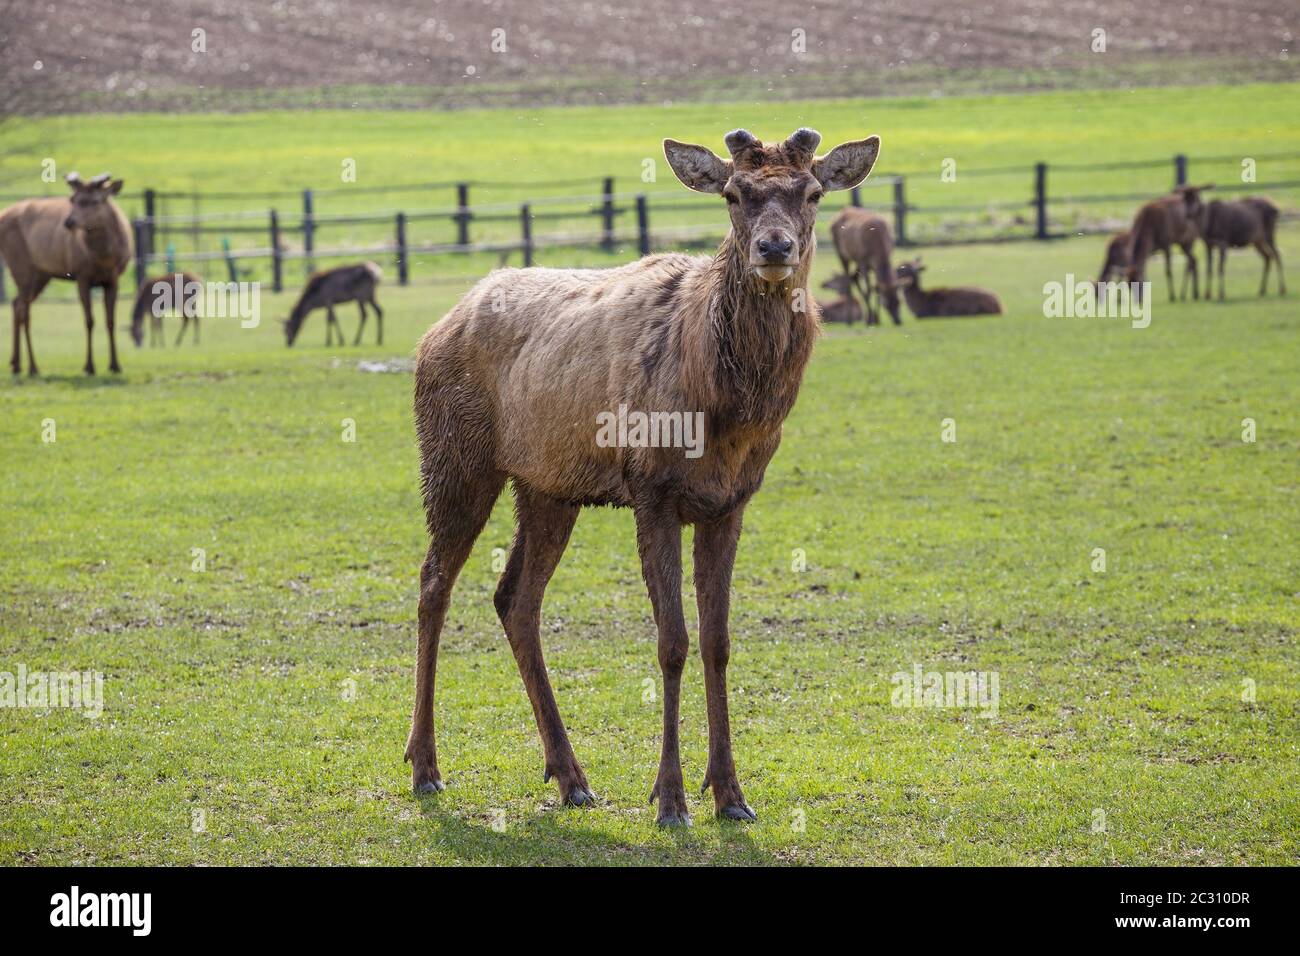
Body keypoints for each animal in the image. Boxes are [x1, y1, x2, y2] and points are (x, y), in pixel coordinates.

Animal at [0, 174, 131, 374]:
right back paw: (32, 366)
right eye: (72, 199)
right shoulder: (82, 275)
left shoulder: (114, 277)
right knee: (24, 310)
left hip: (41, 274)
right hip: (20, 265)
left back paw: (16, 364)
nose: (69, 222)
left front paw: (115, 365)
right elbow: (89, 320)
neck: (104, 258)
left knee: (16, 304)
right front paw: (89, 366)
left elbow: (111, 321)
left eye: (95, 200)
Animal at [400, 128, 878, 832]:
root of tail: (436, 328)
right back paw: (426, 766)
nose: (774, 247)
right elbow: (672, 642)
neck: (723, 415)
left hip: (547, 487)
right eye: (734, 193)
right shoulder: (651, 490)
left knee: (515, 598)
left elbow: (718, 641)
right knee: (433, 582)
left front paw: (731, 794)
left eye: (813, 191)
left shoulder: (732, 500)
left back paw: (571, 777)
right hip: (455, 456)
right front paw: (671, 800)